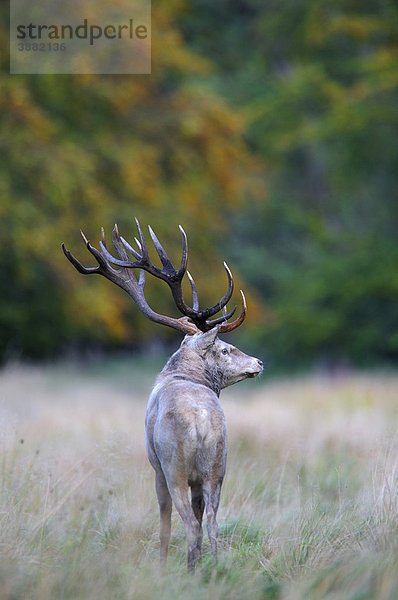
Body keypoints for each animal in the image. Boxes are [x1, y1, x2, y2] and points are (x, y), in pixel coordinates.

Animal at [62, 218, 262, 568]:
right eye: (226, 349)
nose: (259, 362)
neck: (181, 374)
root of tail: (201, 420)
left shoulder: (154, 465)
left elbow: (164, 523)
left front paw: (162, 562)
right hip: (217, 467)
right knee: (211, 523)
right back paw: (212, 568)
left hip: (174, 466)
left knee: (190, 525)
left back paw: (186, 569)